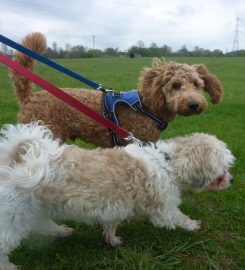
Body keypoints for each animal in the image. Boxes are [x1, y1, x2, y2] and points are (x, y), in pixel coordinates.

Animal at [0, 123, 234, 270]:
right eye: (222, 169)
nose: (231, 180)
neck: (168, 162)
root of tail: (13, 161)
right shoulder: (164, 210)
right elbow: (180, 218)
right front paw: (194, 226)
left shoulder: (114, 207)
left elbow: (111, 225)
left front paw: (112, 240)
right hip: (14, 217)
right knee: (4, 244)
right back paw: (9, 266)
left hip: (34, 207)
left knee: (42, 224)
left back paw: (61, 231)